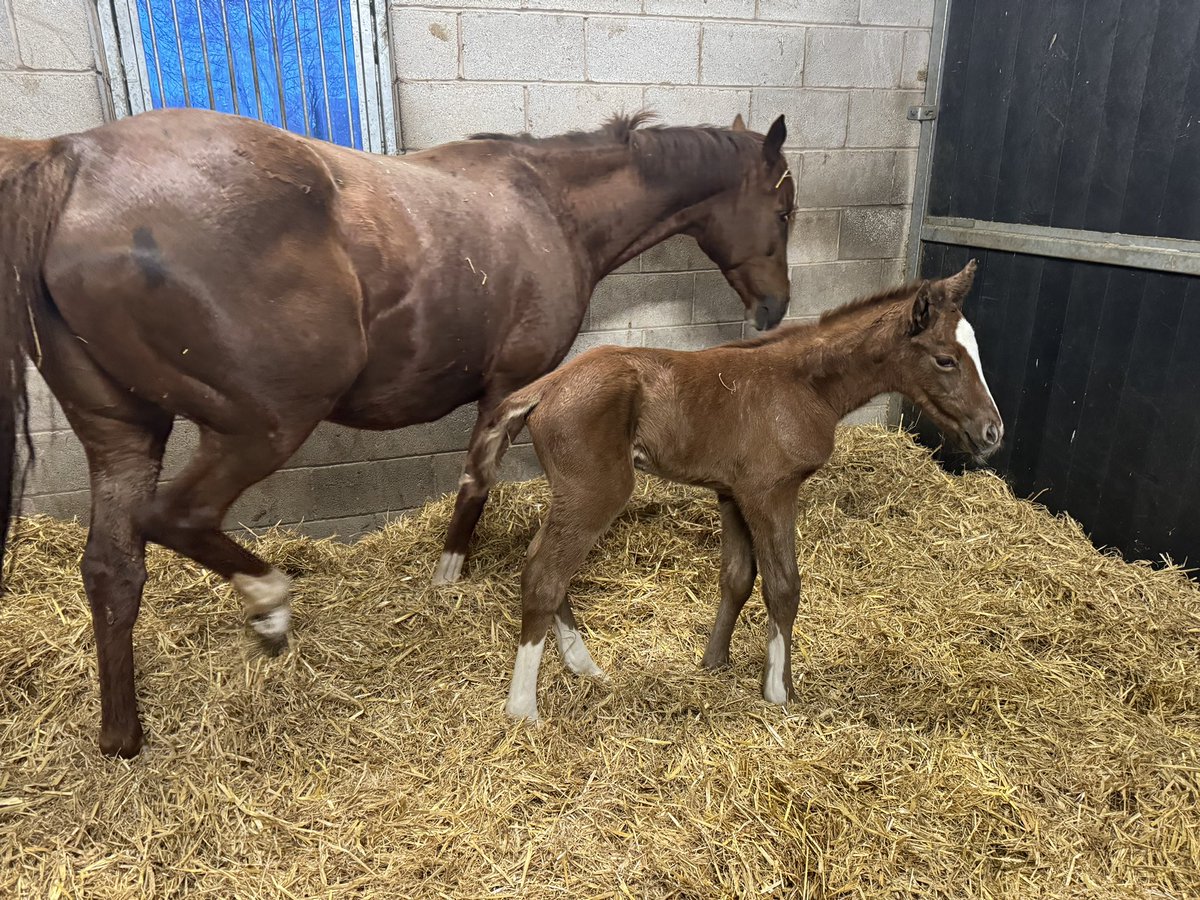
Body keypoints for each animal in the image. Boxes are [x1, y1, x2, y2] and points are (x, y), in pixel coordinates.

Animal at [0, 108, 796, 756]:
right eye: (784, 209)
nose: (775, 308)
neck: (549, 203)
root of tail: (73, 160)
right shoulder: (509, 386)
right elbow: (476, 482)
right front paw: (454, 579)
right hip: (263, 425)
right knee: (178, 517)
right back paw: (269, 605)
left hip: (123, 432)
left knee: (113, 571)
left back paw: (123, 737)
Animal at [468, 261, 1002, 721]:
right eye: (946, 359)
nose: (992, 432)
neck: (805, 384)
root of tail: (544, 388)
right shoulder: (771, 491)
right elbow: (784, 586)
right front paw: (779, 691)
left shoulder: (732, 493)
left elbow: (738, 578)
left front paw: (714, 663)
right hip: (595, 491)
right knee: (544, 574)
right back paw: (523, 708)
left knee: (540, 562)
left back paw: (583, 665)